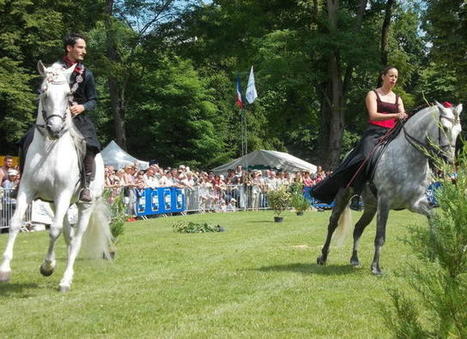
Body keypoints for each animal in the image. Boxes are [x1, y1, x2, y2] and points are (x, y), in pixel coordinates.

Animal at [0, 60, 113, 292]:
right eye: (43, 92)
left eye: (68, 95)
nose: (54, 128)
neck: (48, 149)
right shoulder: (27, 190)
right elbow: (15, 223)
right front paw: (5, 270)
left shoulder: (63, 192)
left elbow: (53, 231)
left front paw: (47, 267)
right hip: (54, 203)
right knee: (68, 235)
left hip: (83, 204)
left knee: (75, 237)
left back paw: (65, 280)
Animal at [316, 102, 462, 274]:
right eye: (444, 127)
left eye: (459, 131)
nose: (449, 160)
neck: (410, 159)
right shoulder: (385, 201)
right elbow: (380, 236)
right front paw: (376, 267)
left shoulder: (415, 203)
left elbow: (434, 219)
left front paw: (435, 251)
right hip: (344, 194)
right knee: (333, 223)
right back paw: (323, 256)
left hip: (371, 206)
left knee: (358, 228)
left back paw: (354, 259)